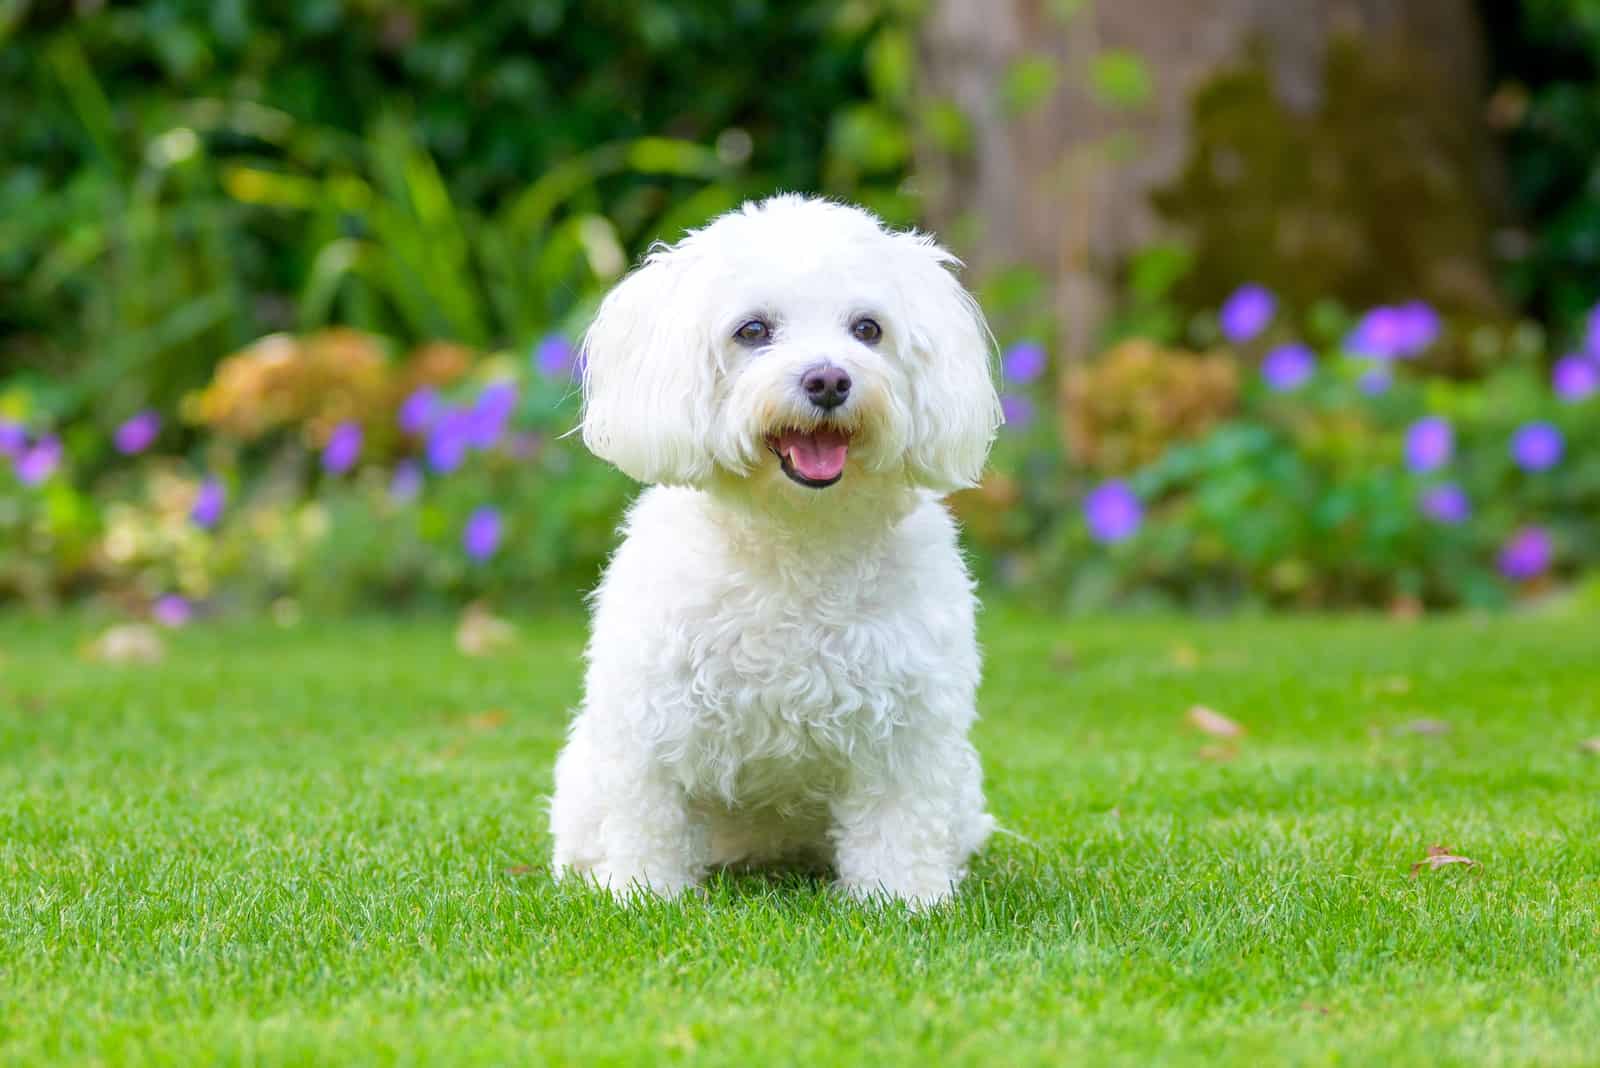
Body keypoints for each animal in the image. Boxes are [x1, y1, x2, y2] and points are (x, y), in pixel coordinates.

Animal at [550, 194, 998, 908]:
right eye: (753, 330)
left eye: (868, 329)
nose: (828, 379)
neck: (795, 535)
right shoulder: (652, 718)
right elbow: (651, 813)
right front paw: (645, 892)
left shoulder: (909, 726)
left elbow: (900, 821)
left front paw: (903, 898)